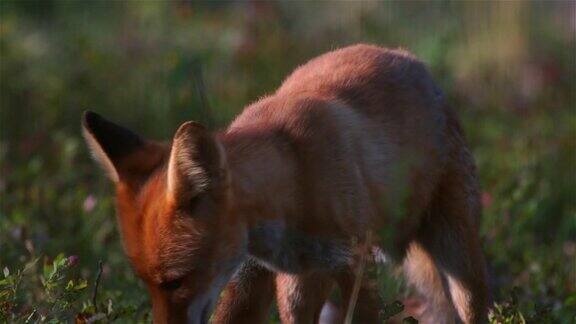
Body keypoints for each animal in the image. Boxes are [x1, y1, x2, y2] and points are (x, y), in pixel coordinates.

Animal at [83, 43, 488, 324]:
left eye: (176, 282)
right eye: (147, 285)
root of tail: (409, 58)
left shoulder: (348, 265)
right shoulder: (258, 277)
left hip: (457, 255)